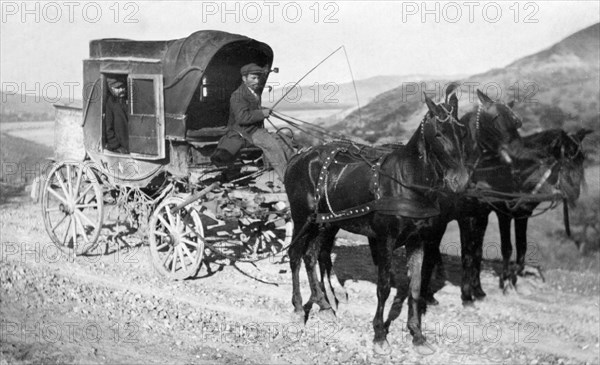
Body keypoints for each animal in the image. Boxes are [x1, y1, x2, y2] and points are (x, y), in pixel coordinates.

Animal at [284, 92, 472, 354]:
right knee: (294, 256)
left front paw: (417, 335)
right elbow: (383, 286)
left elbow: (415, 286)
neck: (406, 182)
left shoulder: (417, 241)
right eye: (438, 134)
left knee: (310, 257)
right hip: (302, 217)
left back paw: (324, 305)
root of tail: (298, 156)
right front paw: (380, 335)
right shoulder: (385, 240)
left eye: (462, 132)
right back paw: (299, 307)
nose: (460, 180)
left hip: (324, 223)